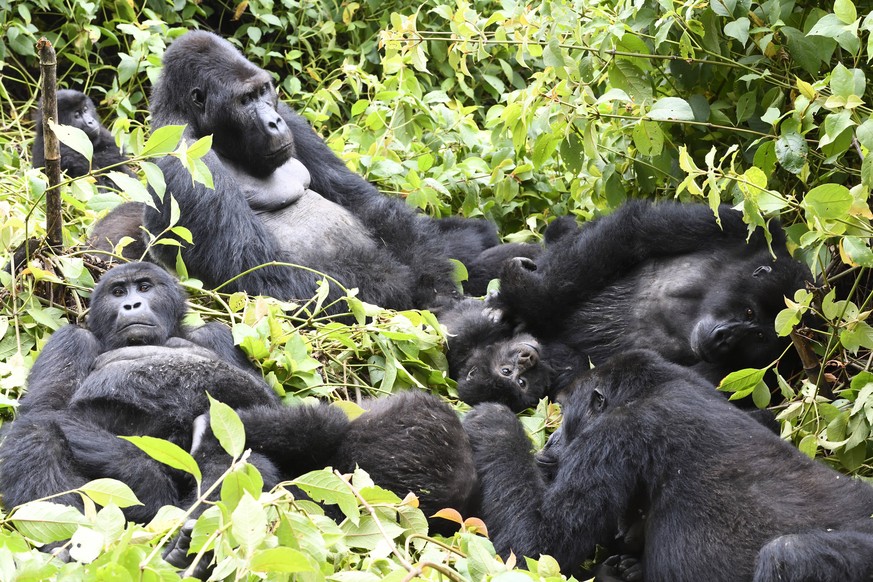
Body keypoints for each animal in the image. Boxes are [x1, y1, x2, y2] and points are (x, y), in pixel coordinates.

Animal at [143, 30, 464, 314]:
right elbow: (262, 274)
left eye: (263, 91)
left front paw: (433, 281)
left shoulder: (290, 117)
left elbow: (365, 202)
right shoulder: (185, 162)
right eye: (244, 101)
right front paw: (397, 284)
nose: (273, 122)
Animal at [494, 203, 816, 386]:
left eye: (758, 337)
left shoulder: (772, 368)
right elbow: (630, 234)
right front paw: (528, 295)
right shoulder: (739, 227)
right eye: (750, 312)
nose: (724, 337)